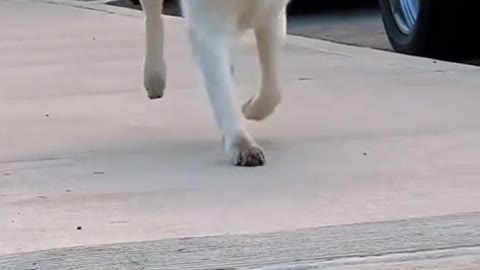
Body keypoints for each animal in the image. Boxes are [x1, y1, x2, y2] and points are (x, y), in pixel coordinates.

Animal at [138, 0, 288, 167]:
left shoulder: (270, 15)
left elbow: (272, 91)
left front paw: (249, 110)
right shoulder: (208, 26)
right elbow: (223, 92)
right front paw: (241, 143)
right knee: (153, 17)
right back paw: (154, 78)